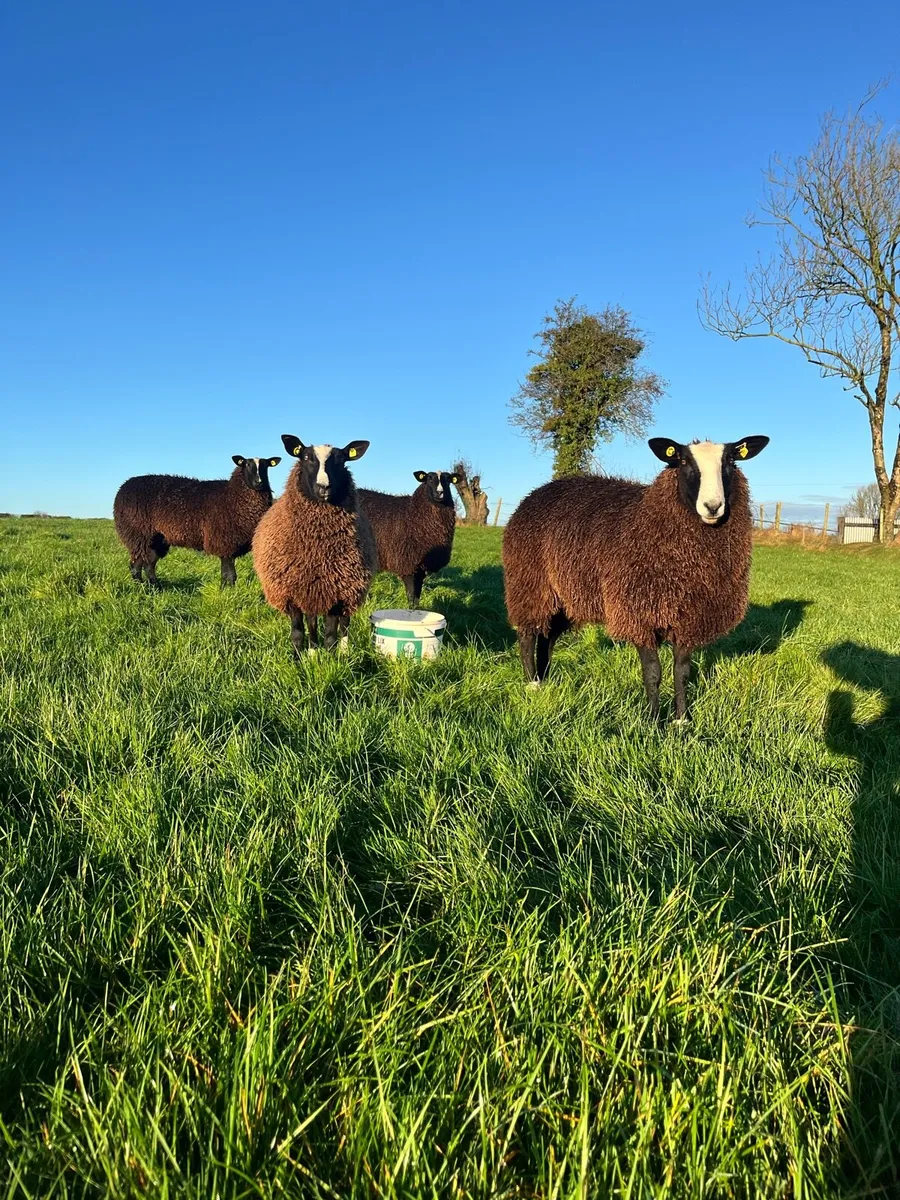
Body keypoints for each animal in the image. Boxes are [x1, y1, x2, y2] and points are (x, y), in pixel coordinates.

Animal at [113, 455, 282, 587]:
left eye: (266, 466)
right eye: (246, 464)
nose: (259, 482)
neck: (232, 495)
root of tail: (122, 490)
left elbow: (227, 574)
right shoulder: (224, 542)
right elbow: (229, 575)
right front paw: (227, 592)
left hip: (157, 540)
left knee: (148, 564)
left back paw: (155, 587)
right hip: (138, 535)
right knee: (136, 566)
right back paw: (142, 588)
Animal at [252, 435, 377, 655]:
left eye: (341, 460)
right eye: (306, 457)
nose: (323, 487)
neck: (316, 551)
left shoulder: (337, 591)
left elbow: (331, 634)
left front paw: (331, 658)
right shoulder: (292, 593)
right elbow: (298, 631)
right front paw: (299, 656)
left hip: (352, 588)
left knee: (345, 624)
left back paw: (344, 651)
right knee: (311, 623)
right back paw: (312, 650)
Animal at [358, 470, 459, 607]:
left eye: (448, 480)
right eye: (429, 478)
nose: (440, 493)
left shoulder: (421, 569)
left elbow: (416, 597)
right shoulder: (408, 564)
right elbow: (411, 596)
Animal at [502, 435, 770, 719]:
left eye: (730, 460)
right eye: (683, 461)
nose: (712, 506)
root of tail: (536, 493)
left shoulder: (688, 618)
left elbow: (682, 673)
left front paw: (682, 720)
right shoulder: (639, 613)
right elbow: (653, 673)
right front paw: (653, 720)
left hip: (564, 597)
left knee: (547, 637)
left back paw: (544, 679)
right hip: (528, 583)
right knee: (528, 635)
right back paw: (532, 683)